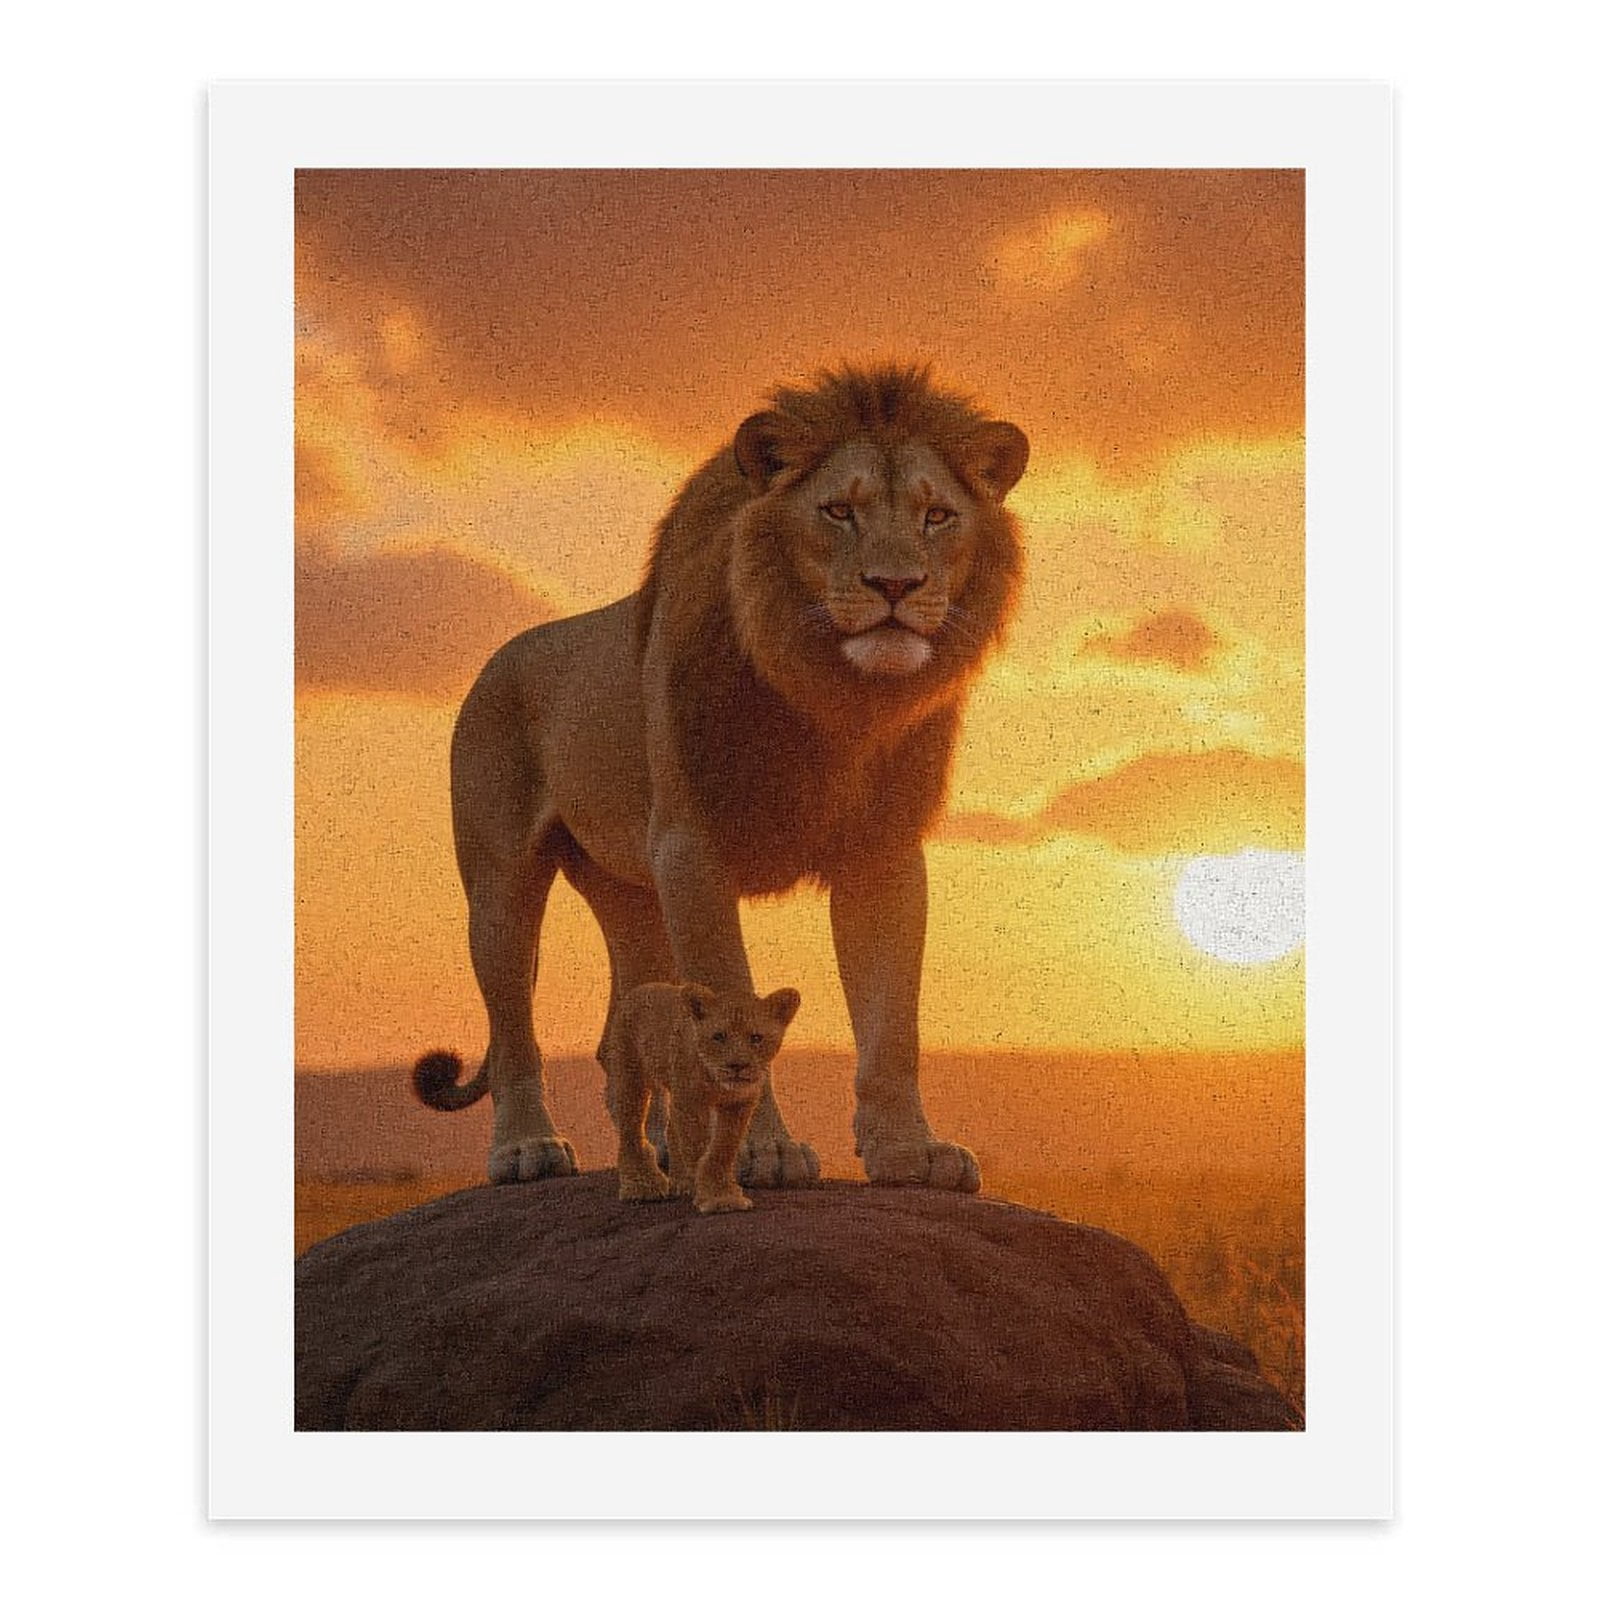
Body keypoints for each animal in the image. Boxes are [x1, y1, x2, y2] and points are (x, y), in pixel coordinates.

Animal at [609, 982, 802, 1214]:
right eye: (719, 1036)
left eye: (756, 1038)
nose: (737, 1066)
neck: (716, 1081)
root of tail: (641, 988)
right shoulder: (690, 1102)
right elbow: (697, 1147)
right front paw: (712, 1197)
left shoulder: (739, 1103)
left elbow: (723, 1148)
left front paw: (722, 1194)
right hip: (631, 1077)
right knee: (630, 1131)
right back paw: (642, 1186)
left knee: (671, 1130)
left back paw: (682, 1183)